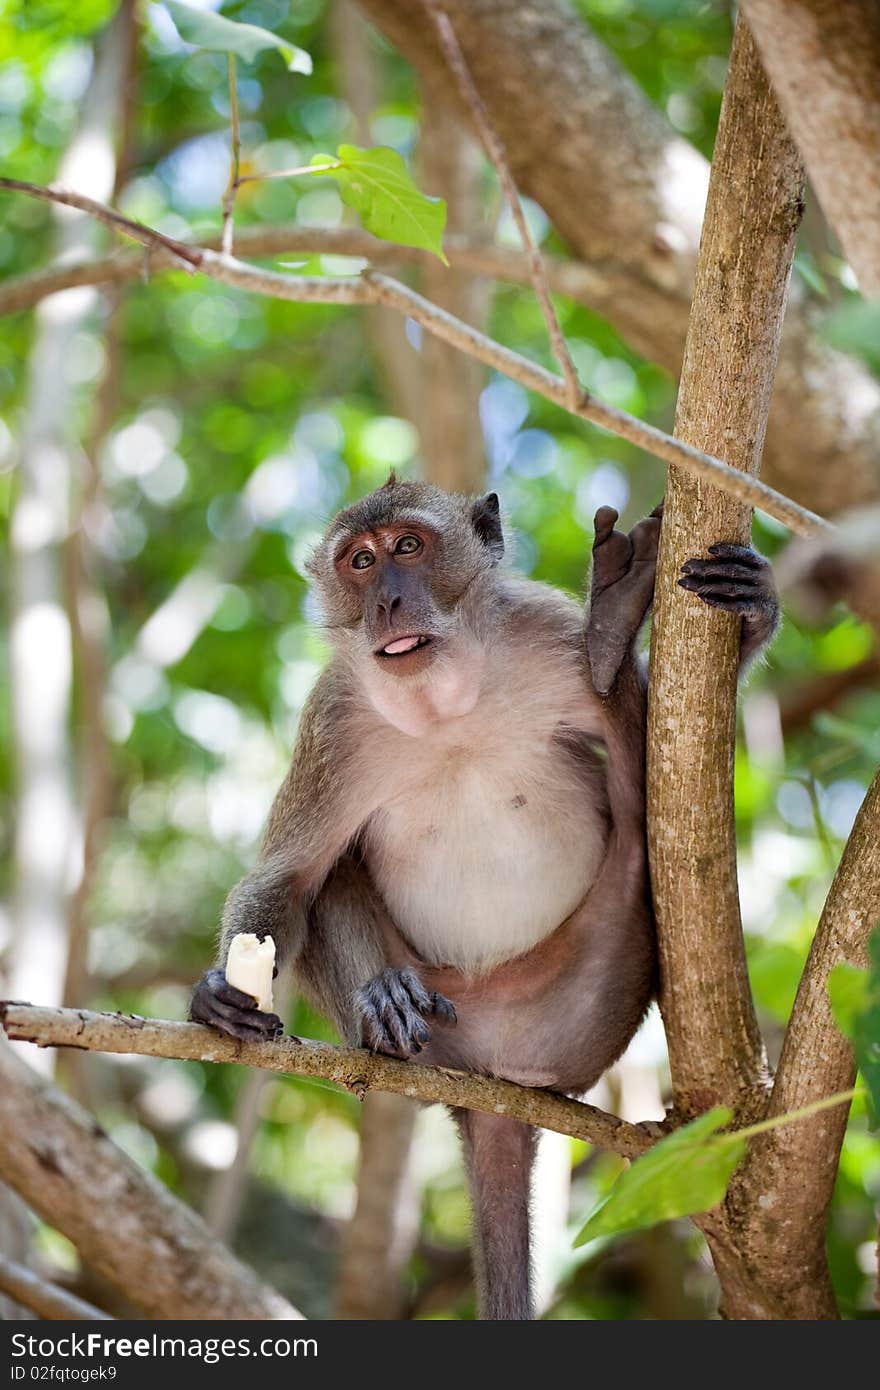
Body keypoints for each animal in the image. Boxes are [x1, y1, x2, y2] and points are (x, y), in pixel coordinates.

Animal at [187, 475, 772, 1312]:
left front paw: (752, 606)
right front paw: (218, 995)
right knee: (336, 879)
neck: (443, 702)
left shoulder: (544, 628)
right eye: (359, 561)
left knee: (639, 816)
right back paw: (385, 1003)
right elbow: (288, 879)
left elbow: (680, 738)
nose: (387, 601)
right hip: (445, 1034)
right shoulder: (332, 721)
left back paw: (612, 626)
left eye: (407, 547)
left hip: (585, 1006)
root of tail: (493, 1085)